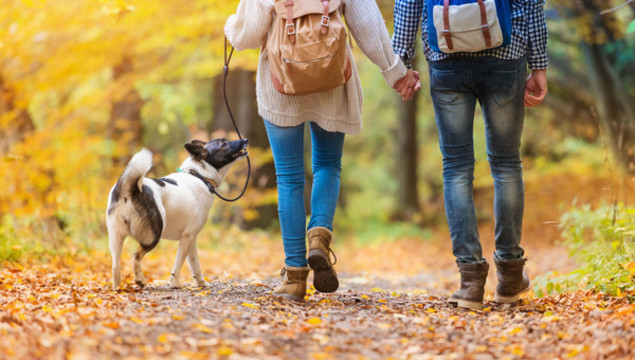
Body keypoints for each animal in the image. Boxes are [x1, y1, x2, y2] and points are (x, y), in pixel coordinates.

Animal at [107, 138, 248, 290]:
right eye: (223, 144)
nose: (245, 140)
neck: (199, 176)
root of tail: (131, 189)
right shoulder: (187, 237)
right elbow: (178, 263)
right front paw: (175, 284)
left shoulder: (191, 239)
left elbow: (195, 265)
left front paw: (201, 284)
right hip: (153, 236)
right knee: (136, 256)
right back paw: (140, 279)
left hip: (116, 238)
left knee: (115, 266)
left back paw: (118, 289)